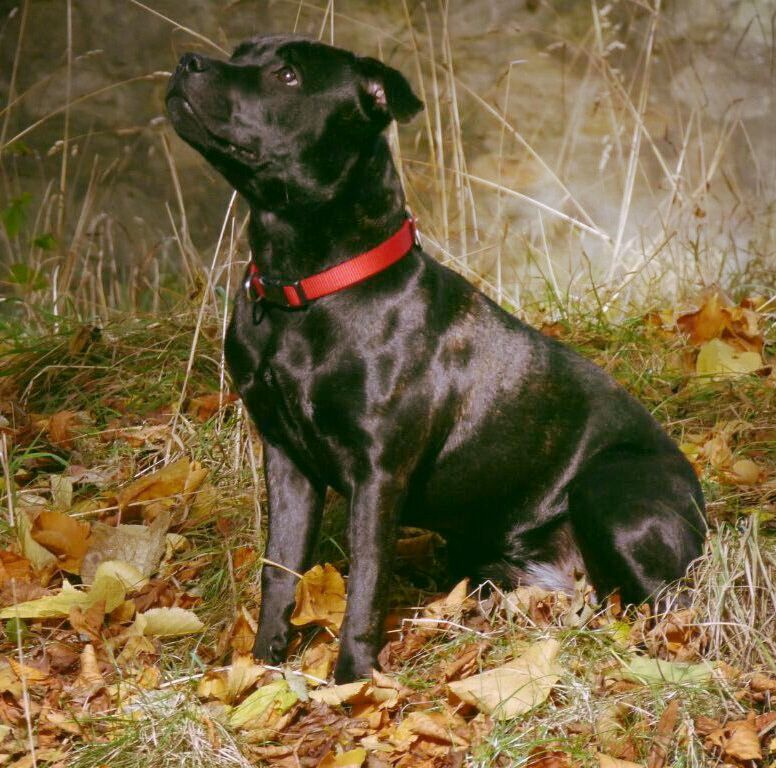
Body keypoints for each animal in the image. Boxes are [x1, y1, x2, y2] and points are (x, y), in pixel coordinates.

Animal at [167, 37, 708, 684]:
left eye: (288, 75)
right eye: (241, 51)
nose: (186, 62)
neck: (307, 289)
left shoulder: (379, 474)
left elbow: (367, 585)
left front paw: (352, 683)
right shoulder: (287, 459)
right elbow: (281, 572)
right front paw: (262, 669)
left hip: (608, 493)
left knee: (674, 603)